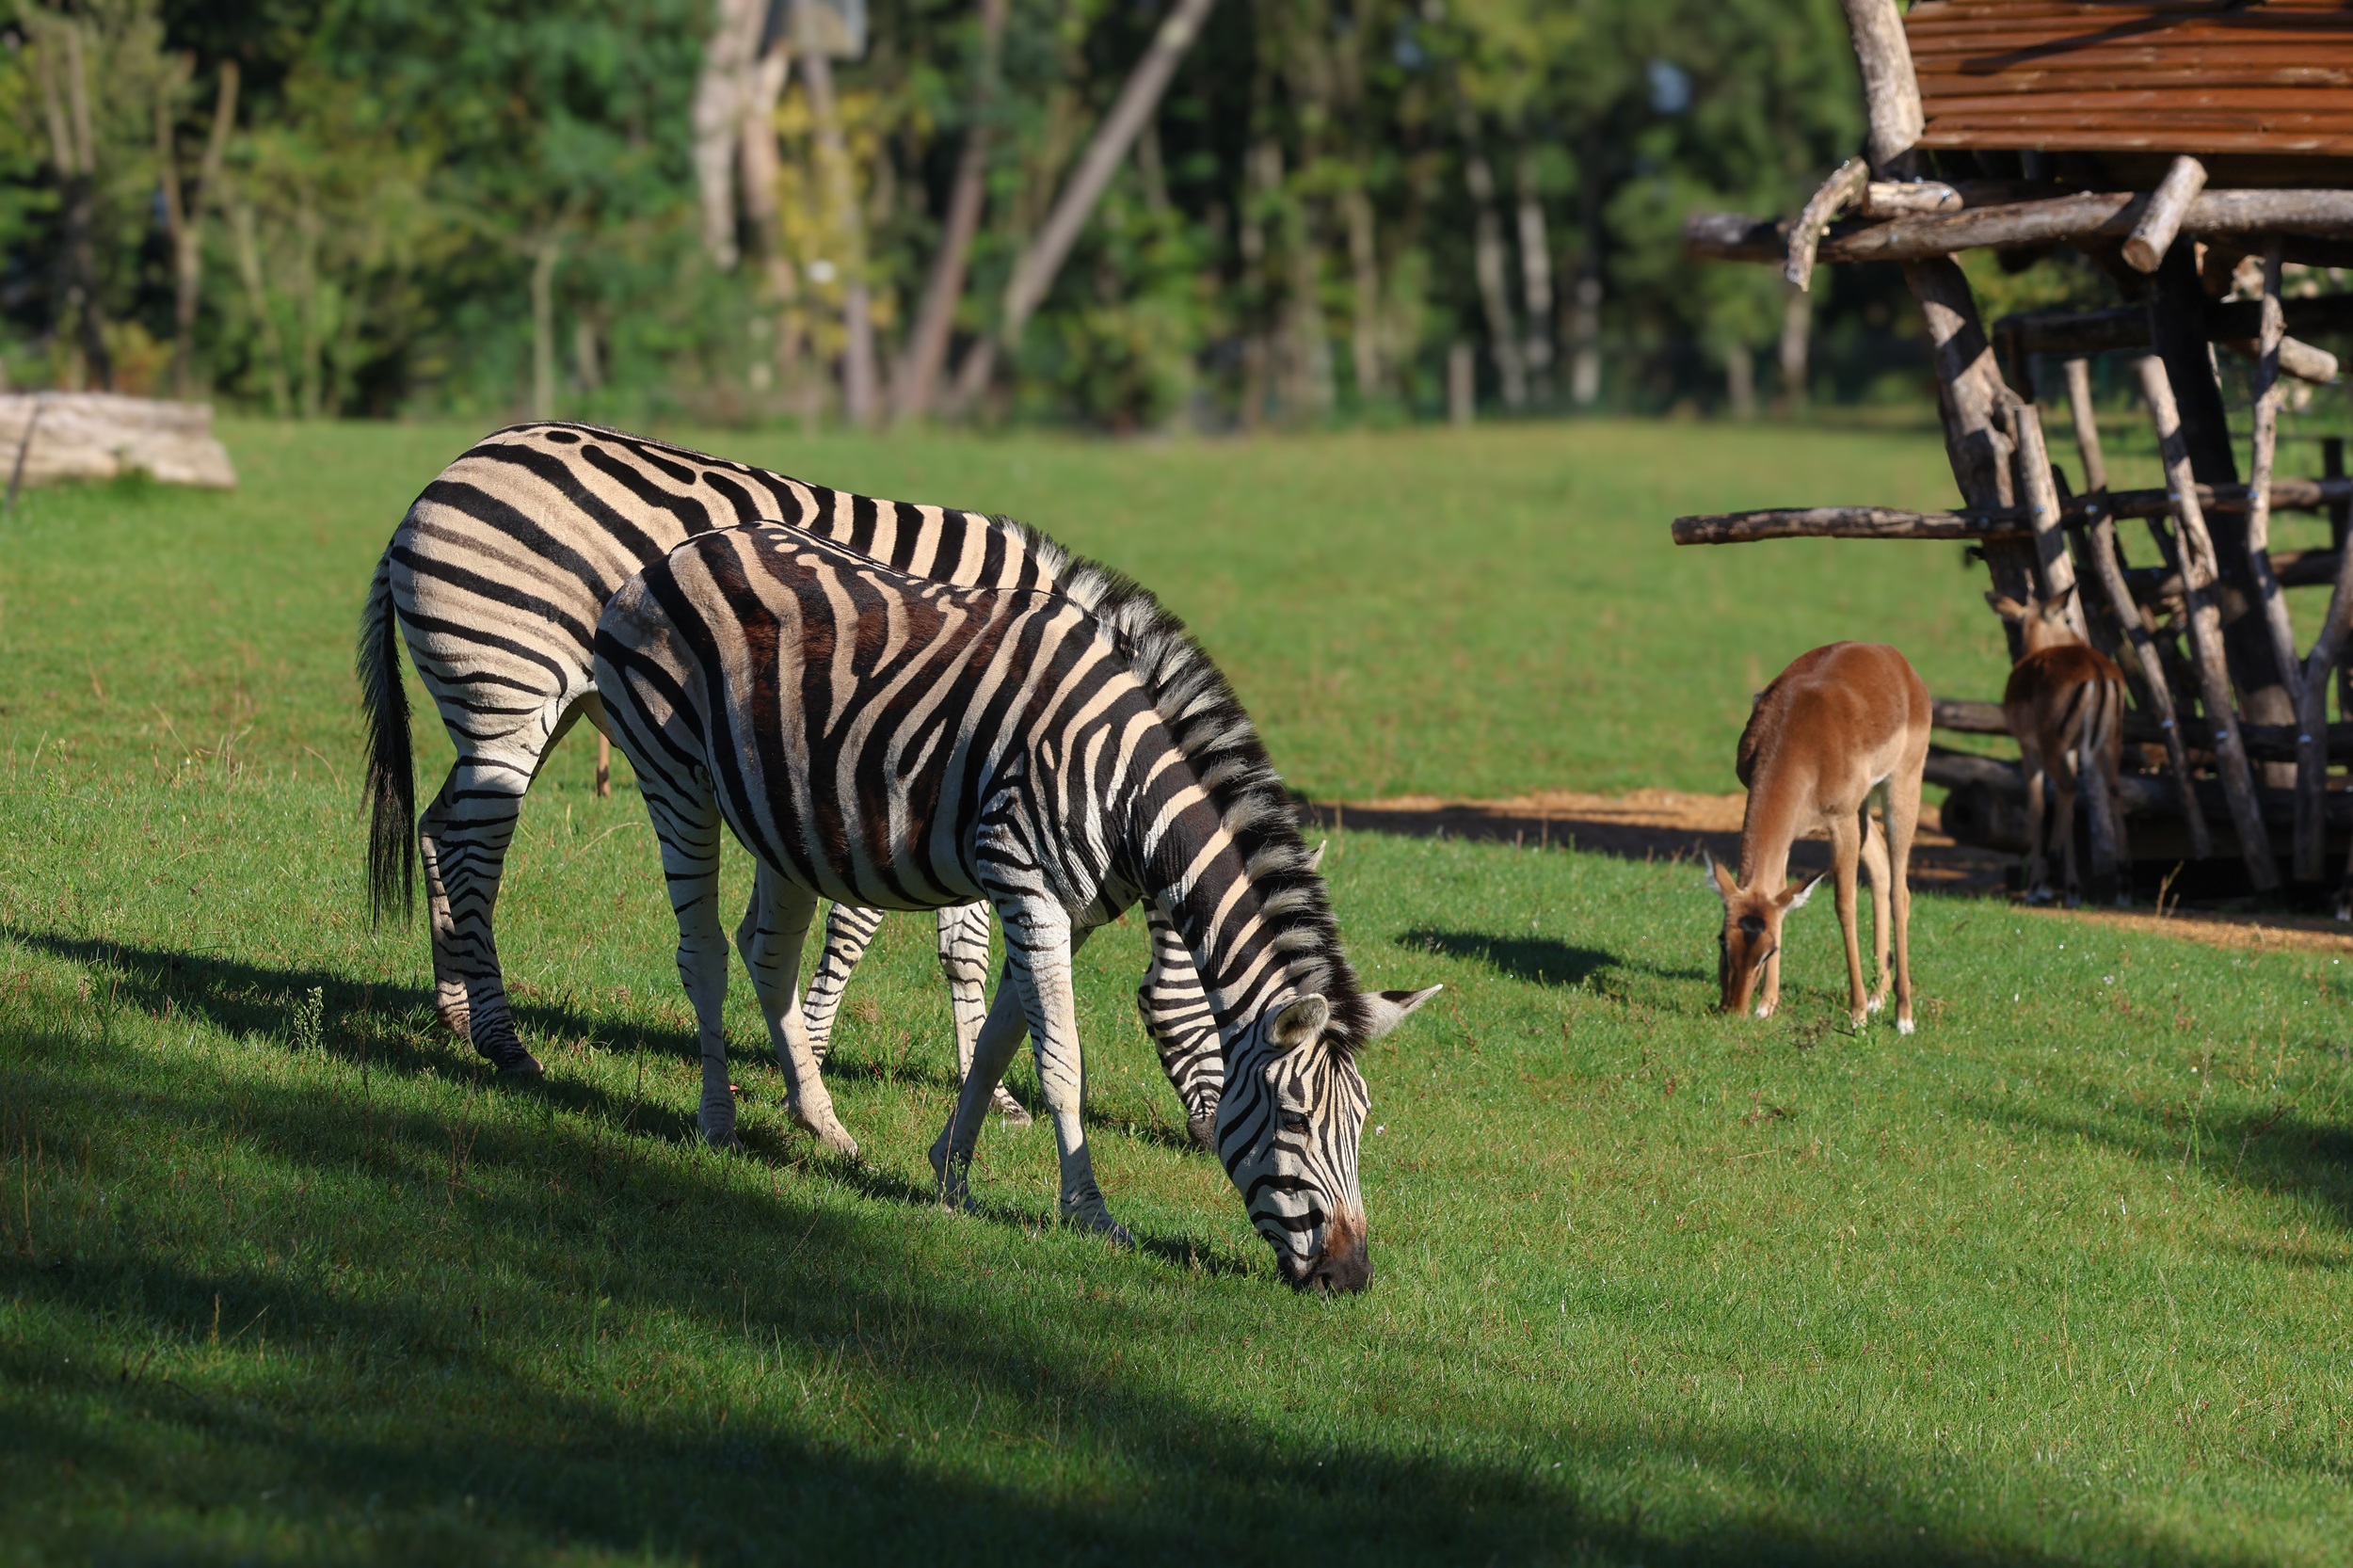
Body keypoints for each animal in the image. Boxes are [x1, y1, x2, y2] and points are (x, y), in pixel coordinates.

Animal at [353, 414, 1233, 1125]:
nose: (1203, 1141)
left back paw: (457, 1013)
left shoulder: (962, 792)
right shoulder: (904, 778)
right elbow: (861, 926)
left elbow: (963, 947)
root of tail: (441, 480)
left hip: (523, 708)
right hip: (508, 689)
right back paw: (504, 1040)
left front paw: (989, 1093)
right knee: (474, 850)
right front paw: (807, 1053)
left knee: (440, 828)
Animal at [593, 522, 1431, 1280]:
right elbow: (1061, 1062)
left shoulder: (1071, 911)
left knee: (767, 955)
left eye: (1360, 1123)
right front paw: (1091, 1215)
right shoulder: (1026, 882)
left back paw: (820, 1120)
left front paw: (948, 1176)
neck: (1128, 787)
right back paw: (718, 1124)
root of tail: (685, 549)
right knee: (702, 954)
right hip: (675, 779)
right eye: (1295, 1120)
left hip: (788, 820)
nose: (1351, 1275)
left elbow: (1000, 1041)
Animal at [1713, 640, 1929, 1031]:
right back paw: (1878, 997)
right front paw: (1766, 1005)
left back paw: (1902, 1016)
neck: (1799, 740)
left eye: (1768, 950)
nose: (1733, 1009)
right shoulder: (1792, 833)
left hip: (1900, 791)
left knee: (1900, 891)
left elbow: (1844, 905)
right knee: (1881, 870)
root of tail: (1896, 659)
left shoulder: (1839, 824)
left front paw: (1857, 1015)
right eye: (1723, 939)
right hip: (1863, 808)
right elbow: (1780, 892)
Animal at [1986, 584, 2137, 904]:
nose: (2080, 638)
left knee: (2066, 789)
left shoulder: (2028, 748)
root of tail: (2097, 671)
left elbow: (2037, 805)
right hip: (2108, 744)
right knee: (2113, 792)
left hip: (2051, 746)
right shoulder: (2072, 750)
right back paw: (2122, 886)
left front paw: (2038, 885)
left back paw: (2054, 883)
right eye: (2067, 618)